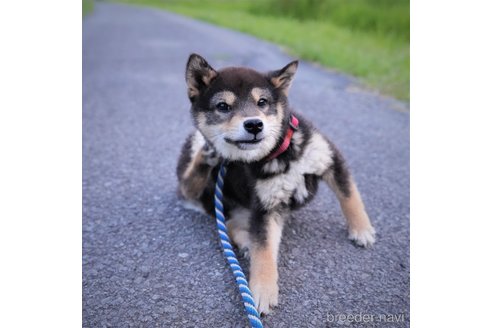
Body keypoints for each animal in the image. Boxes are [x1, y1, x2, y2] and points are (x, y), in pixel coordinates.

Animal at [177, 53, 376, 316]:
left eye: (262, 102)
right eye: (223, 106)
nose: (254, 124)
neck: (278, 154)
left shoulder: (330, 160)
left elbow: (350, 197)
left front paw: (361, 229)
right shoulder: (265, 206)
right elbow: (263, 250)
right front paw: (262, 291)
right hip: (213, 190)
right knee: (191, 190)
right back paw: (205, 159)